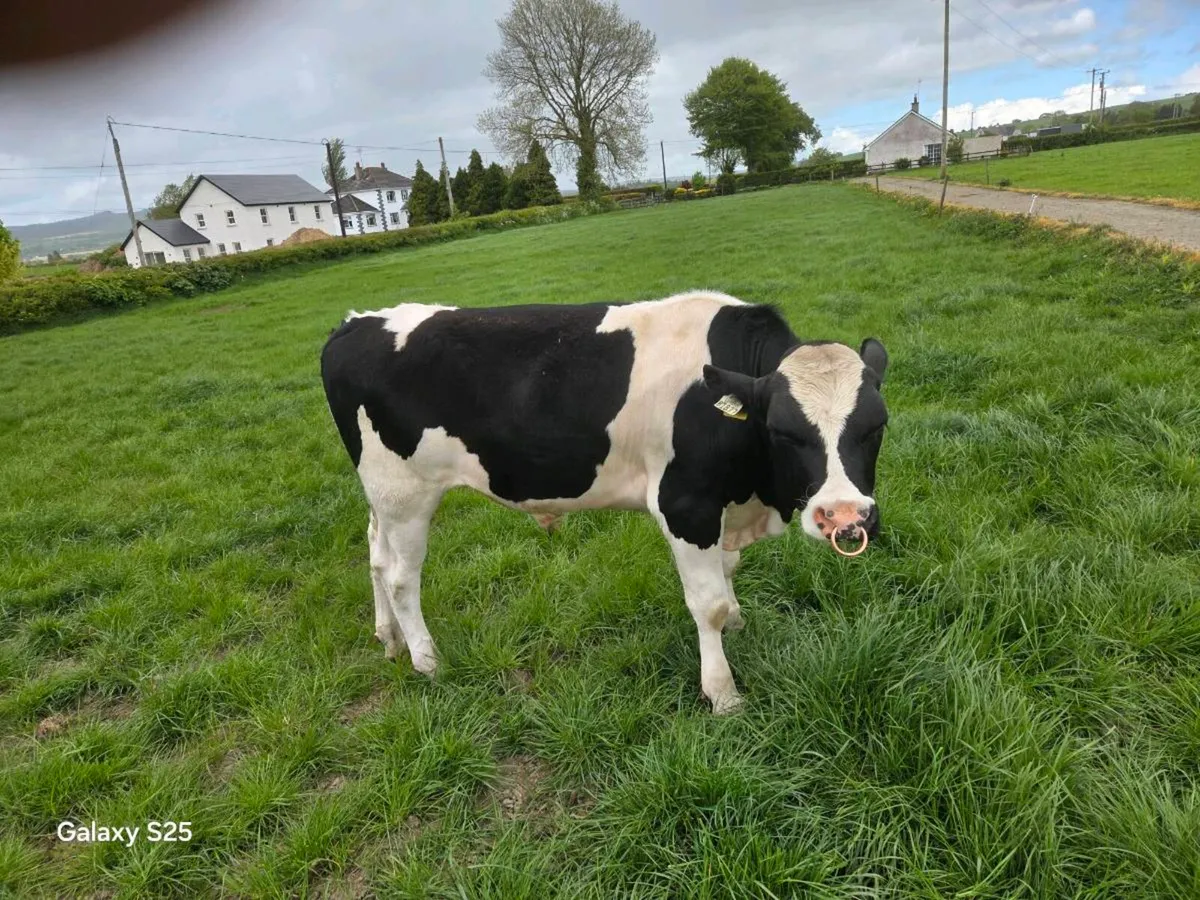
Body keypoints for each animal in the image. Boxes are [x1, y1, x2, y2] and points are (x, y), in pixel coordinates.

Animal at [320, 291, 889, 714]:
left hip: (382, 493)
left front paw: (737, 625)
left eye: (876, 426)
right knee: (401, 577)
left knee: (376, 556)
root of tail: (355, 322)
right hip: (406, 492)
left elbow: (728, 575)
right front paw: (723, 694)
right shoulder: (685, 504)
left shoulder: (724, 507)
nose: (845, 516)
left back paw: (389, 639)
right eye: (783, 431)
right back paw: (427, 660)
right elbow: (707, 603)